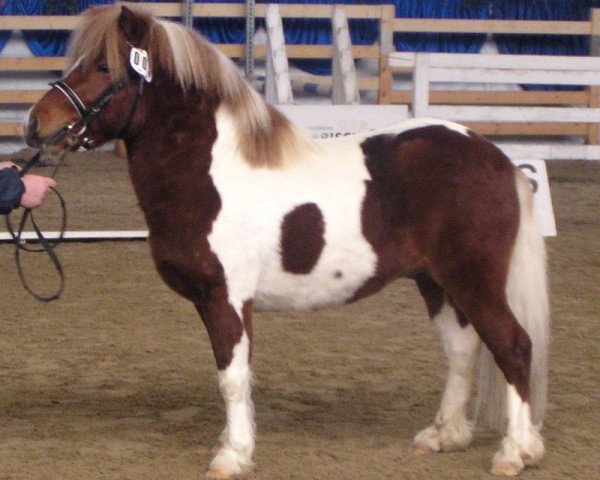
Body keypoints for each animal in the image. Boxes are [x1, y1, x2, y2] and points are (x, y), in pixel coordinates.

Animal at [24, 4, 548, 480]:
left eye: (104, 67)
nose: (34, 123)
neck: (210, 172)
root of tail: (494, 157)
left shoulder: (227, 297)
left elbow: (233, 378)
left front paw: (232, 456)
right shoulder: (209, 301)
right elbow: (229, 373)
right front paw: (233, 442)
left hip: (474, 281)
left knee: (514, 347)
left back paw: (514, 452)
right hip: (437, 282)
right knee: (462, 350)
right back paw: (443, 435)